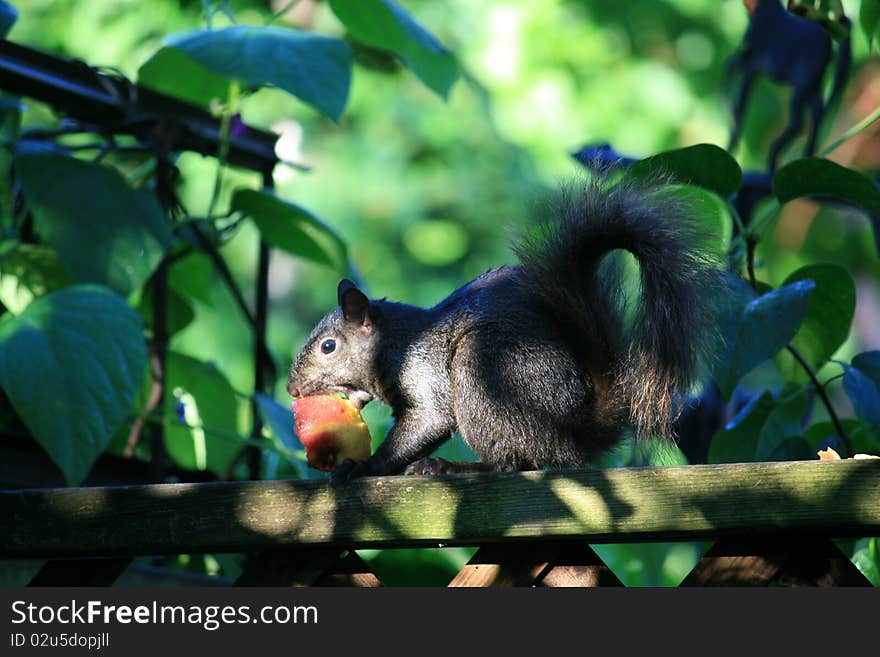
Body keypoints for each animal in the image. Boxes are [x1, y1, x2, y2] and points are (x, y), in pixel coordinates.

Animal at [288, 177, 720, 480]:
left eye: (328, 346)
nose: (292, 389)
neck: (396, 343)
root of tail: (573, 434)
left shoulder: (424, 376)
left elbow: (429, 420)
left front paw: (365, 467)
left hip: (484, 375)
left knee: (514, 463)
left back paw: (451, 467)